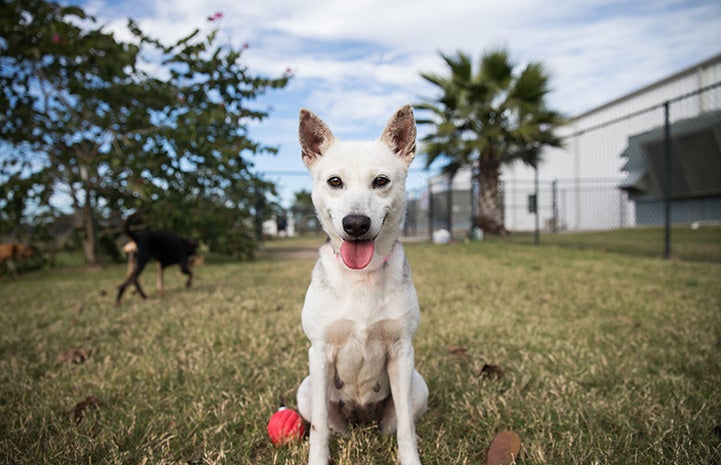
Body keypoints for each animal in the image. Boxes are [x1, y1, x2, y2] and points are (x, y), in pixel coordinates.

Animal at [296, 105, 428, 464]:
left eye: (380, 181)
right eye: (335, 182)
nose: (355, 224)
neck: (361, 277)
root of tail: (361, 416)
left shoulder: (401, 351)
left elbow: (406, 427)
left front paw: (410, 458)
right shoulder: (319, 352)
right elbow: (319, 430)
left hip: (417, 386)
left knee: (399, 422)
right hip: (306, 390)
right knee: (329, 424)